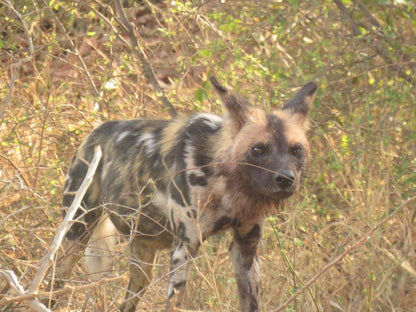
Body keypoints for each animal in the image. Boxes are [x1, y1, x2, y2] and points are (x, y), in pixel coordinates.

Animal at [57, 76, 316, 312]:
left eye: (296, 151)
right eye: (258, 149)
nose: (285, 179)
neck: (226, 184)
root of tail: (95, 132)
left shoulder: (246, 250)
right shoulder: (184, 248)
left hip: (142, 262)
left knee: (128, 301)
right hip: (75, 235)